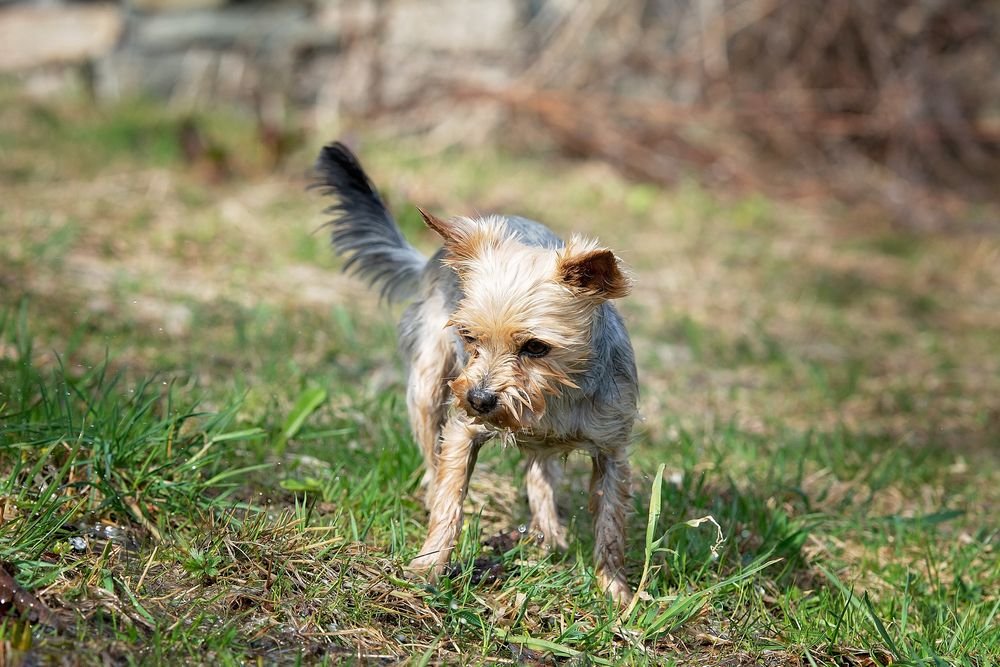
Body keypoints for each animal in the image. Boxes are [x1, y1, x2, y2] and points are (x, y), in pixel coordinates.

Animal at [314, 142, 640, 604]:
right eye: (469, 338)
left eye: (535, 347)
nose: (480, 399)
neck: (554, 397)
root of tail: (433, 258)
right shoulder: (463, 430)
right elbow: (450, 498)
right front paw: (427, 567)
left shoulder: (612, 449)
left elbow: (611, 525)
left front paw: (616, 593)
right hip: (428, 385)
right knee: (433, 457)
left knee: (540, 474)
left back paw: (548, 535)